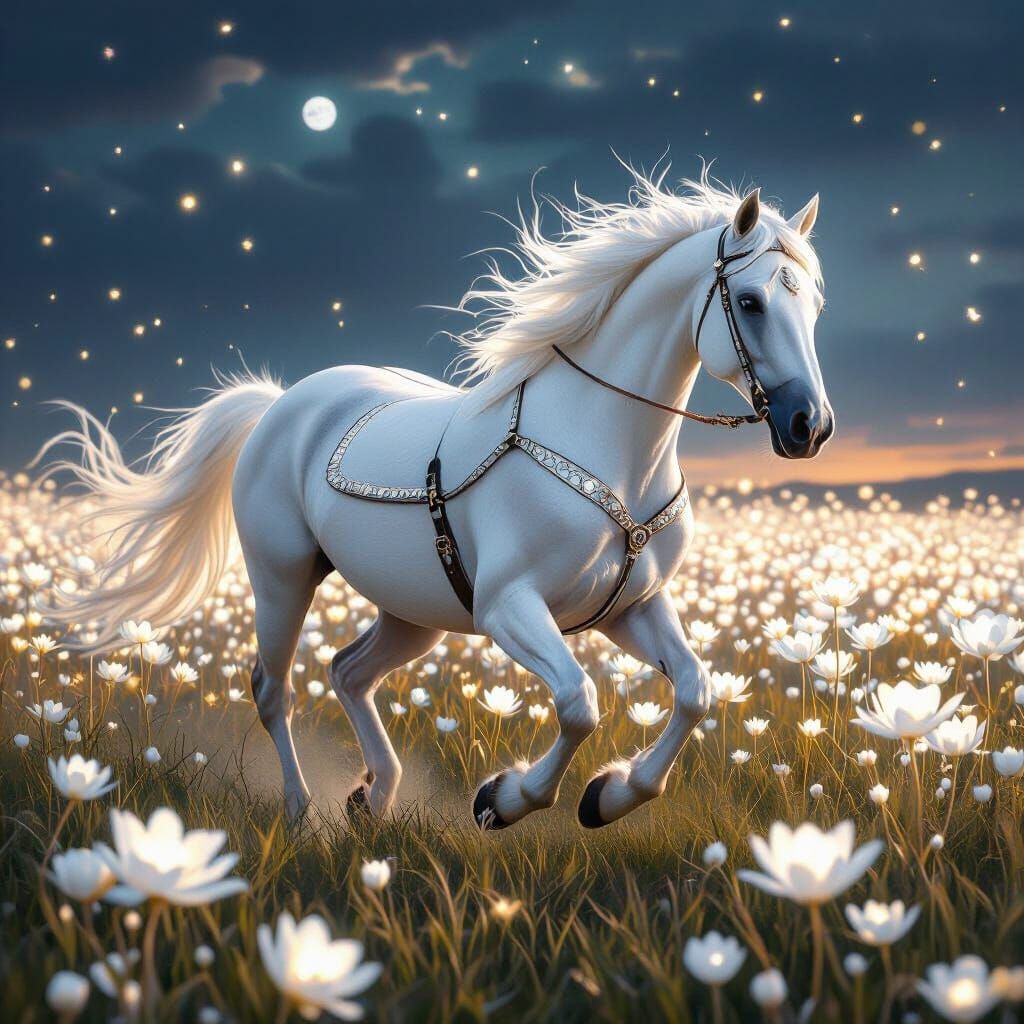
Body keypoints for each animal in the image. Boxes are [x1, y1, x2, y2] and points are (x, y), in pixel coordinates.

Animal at [41, 169, 832, 831]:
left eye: (816, 307)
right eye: (752, 302)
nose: (809, 427)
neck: (603, 444)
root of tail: (279, 403)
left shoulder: (630, 607)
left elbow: (696, 690)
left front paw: (609, 798)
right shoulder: (510, 608)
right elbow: (579, 703)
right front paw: (503, 800)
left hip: (414, 609)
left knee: (348, 670)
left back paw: (373, 796)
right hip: (282, 577)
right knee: (273, 688)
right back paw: (301, 811)